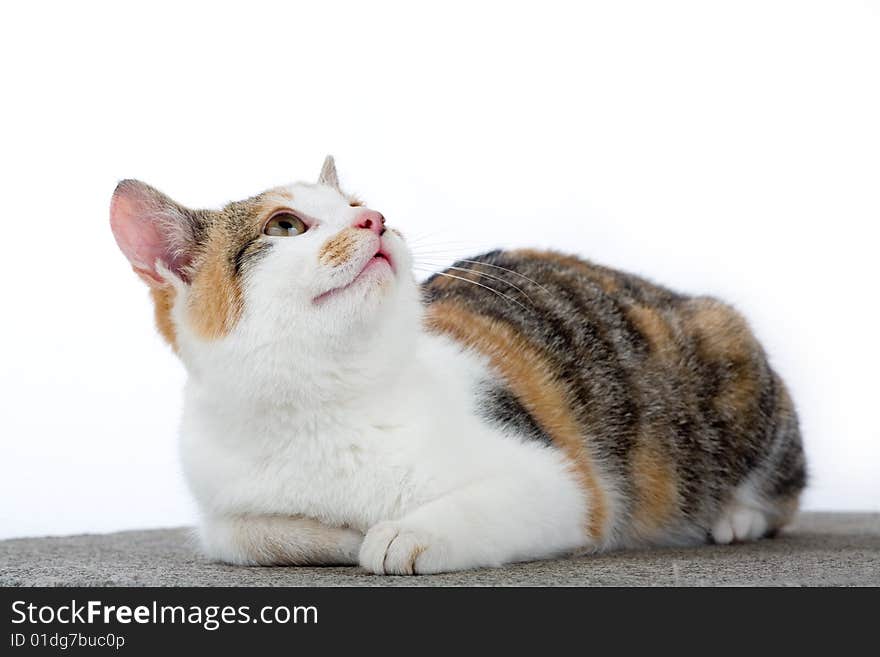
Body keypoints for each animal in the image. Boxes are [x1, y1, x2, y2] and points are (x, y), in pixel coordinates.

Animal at [108, 156, 804, 572]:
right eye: (285, 225)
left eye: (358, 202)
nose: (376, 219)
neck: (322, 405)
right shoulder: (219, 510)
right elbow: (245, 537)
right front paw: (341, 534)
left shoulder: (566, 484)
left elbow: (482, 507)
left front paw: (402, 534)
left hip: (728, 354)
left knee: (782, 492)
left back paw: (735, 517)